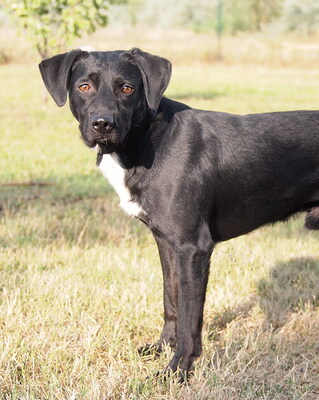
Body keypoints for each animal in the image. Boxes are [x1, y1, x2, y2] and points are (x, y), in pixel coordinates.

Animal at [39, 48, 319, 380]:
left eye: (127, 88)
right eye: (84, 86)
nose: (103, 124)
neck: (149, 139)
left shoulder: (193, 247)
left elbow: (189, 316)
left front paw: (178, 369)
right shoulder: (167, 243)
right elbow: (170, 301)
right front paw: (162, 347)